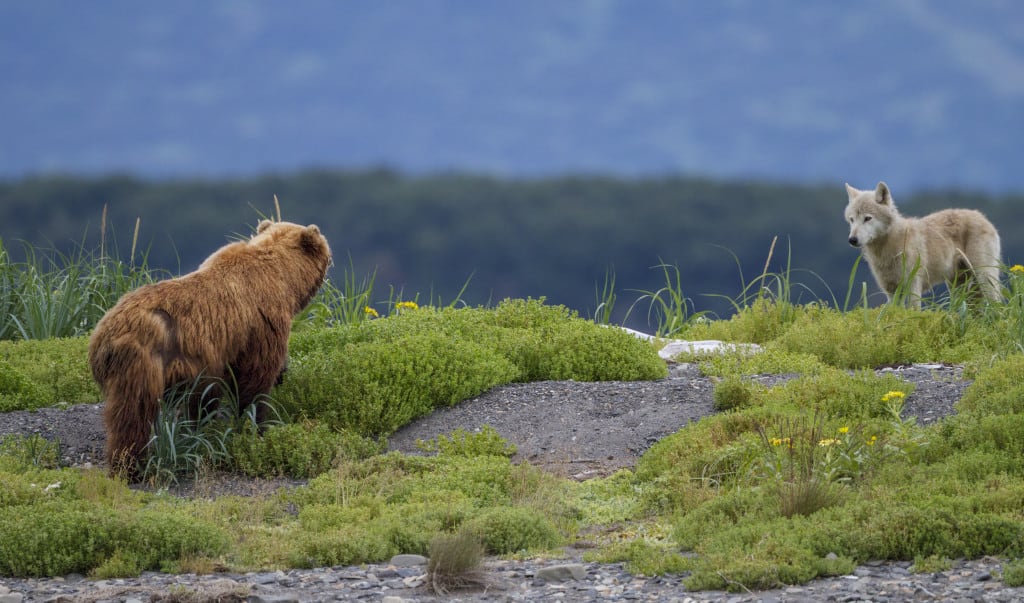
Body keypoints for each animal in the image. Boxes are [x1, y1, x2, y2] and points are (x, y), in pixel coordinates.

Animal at [89, 219, 331, 477]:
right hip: (142, 363)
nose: (330, 260)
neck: (283, 278)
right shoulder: (261, 325)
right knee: (133, 415)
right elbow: (255, 380)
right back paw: (130, 465)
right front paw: (257, 426)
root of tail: (101, 337)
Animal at [847, 180, 999, 305]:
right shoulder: (891, 293)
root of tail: (981, 216)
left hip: (983, 278)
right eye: (851, 220)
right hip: (958, 286)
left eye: (867, 218)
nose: (852, 240)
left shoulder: (913, 288)